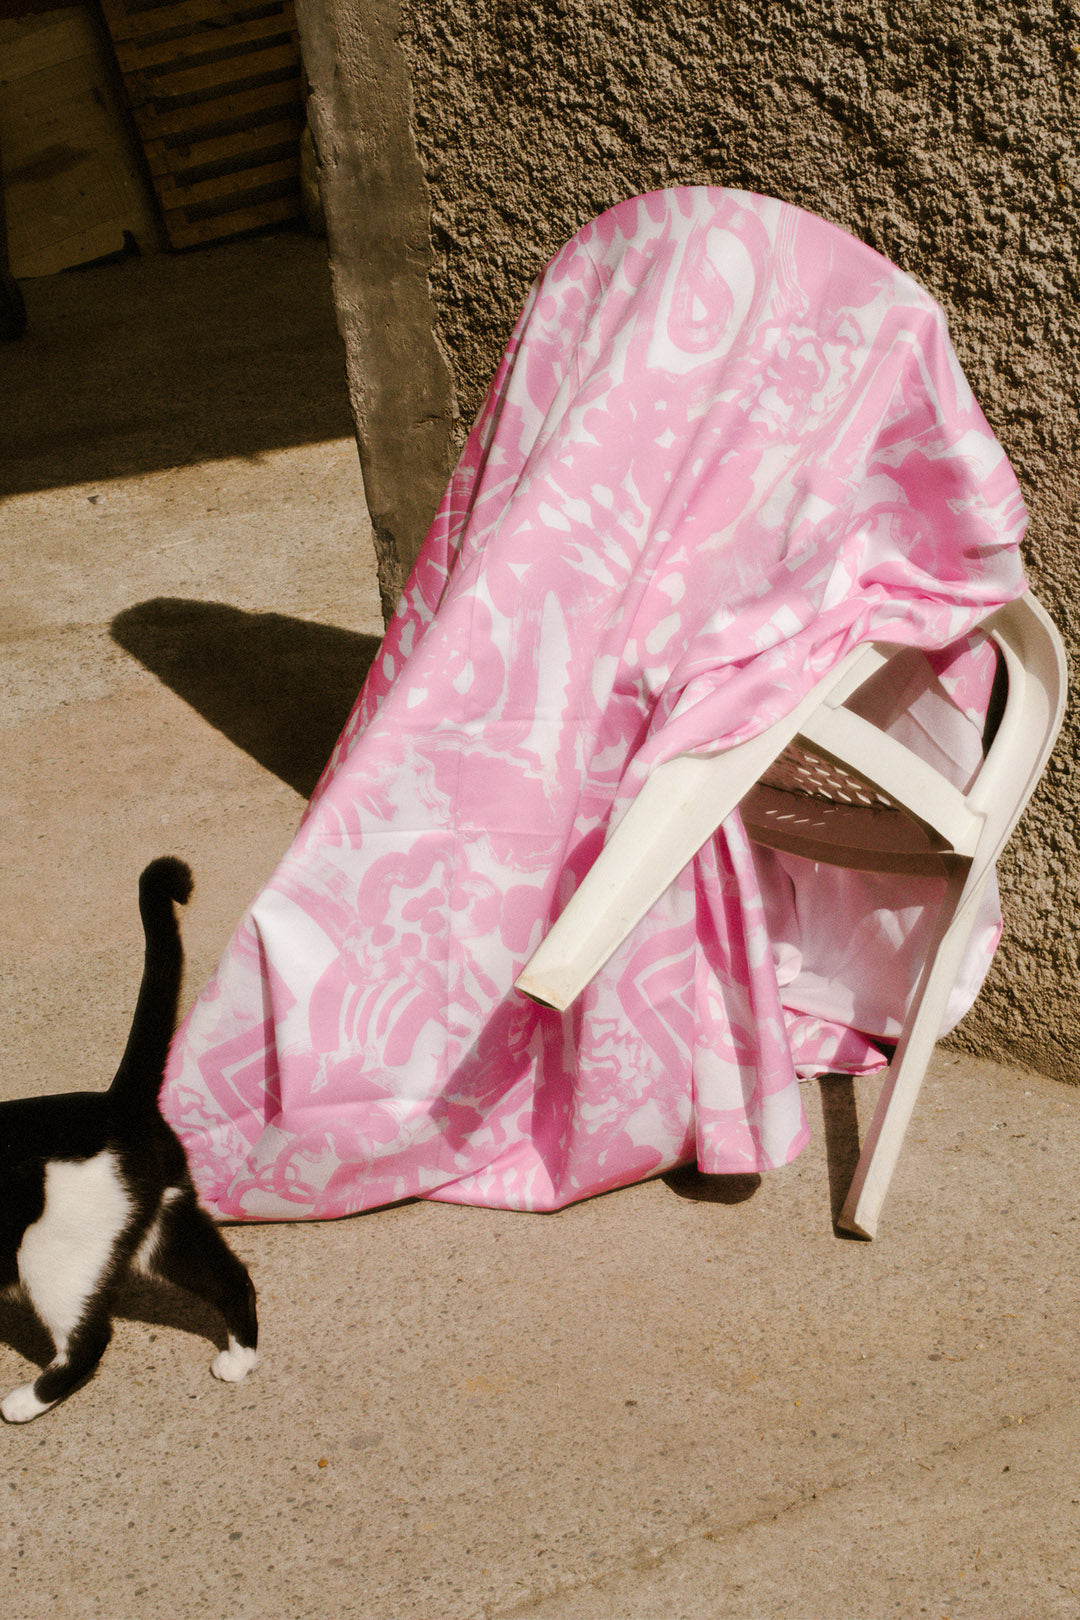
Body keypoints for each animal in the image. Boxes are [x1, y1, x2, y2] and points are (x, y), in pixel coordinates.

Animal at [0, 855, 257, 1425]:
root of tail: (119, 1103)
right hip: (164, 1225)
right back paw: (239, 1360)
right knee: (235, 1278)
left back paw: (24, 1402)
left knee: (90, 1340)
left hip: (50, 1258)